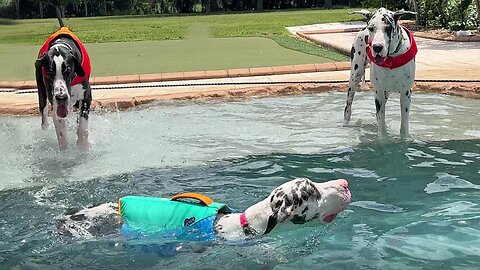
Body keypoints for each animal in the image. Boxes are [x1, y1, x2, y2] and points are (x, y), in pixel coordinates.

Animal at [344, 7, 416, 137]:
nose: (377, 47)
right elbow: (381, 125)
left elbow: (404, 126)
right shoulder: (379, 93)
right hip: (355, 77)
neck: (391, 59)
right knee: (348, 107)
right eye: (371, 28)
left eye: (388, 28)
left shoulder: (405, 94)